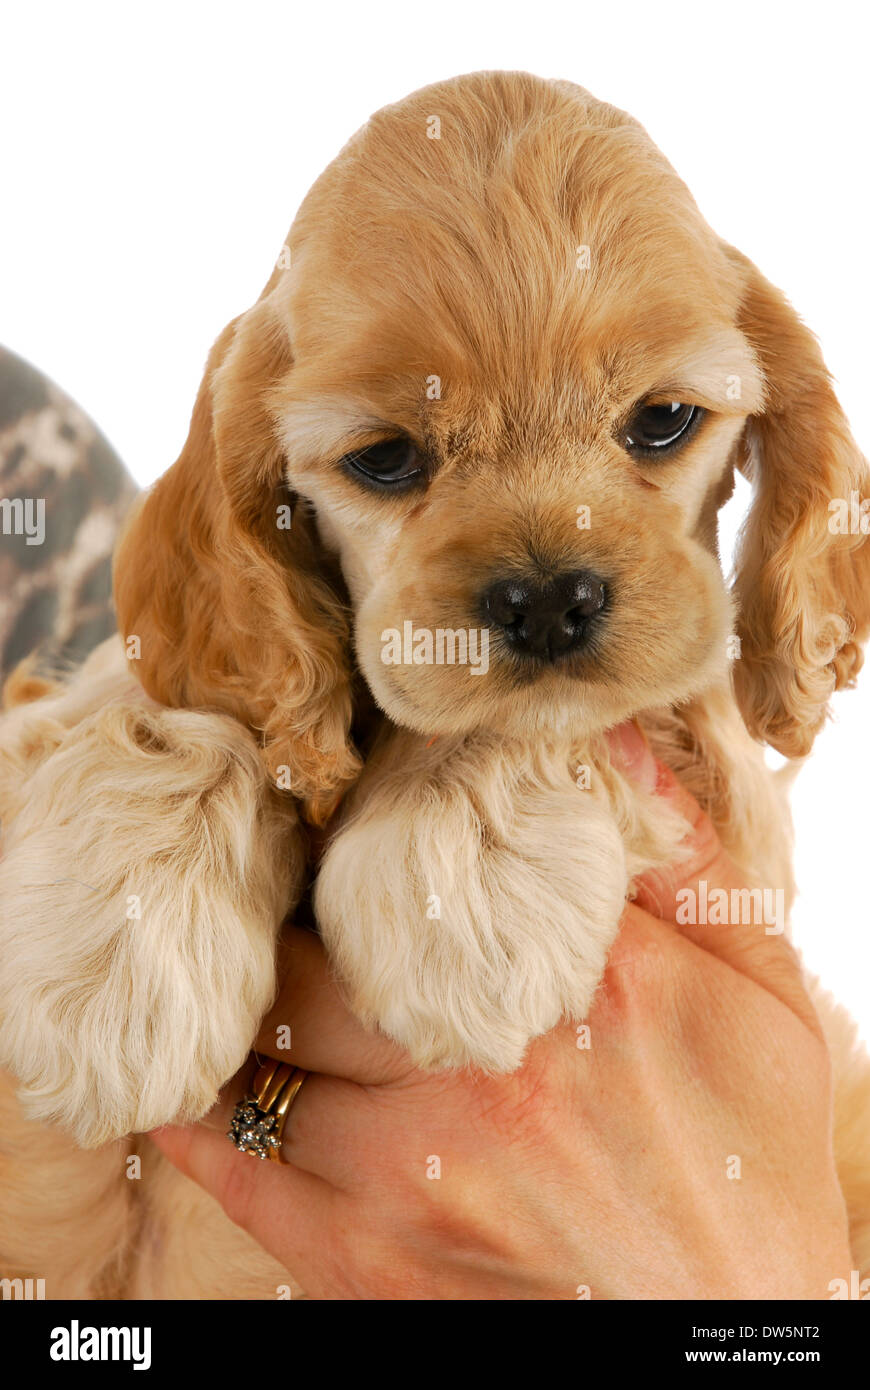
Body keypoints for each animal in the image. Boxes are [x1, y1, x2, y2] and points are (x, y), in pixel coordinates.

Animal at [1, 70, 867, 1295]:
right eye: (385, 458)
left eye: (662, 421)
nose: (548, 601)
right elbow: (184, 703)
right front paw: (113, 969)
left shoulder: (729, 805)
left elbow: (550, 717)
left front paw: (464, 892)